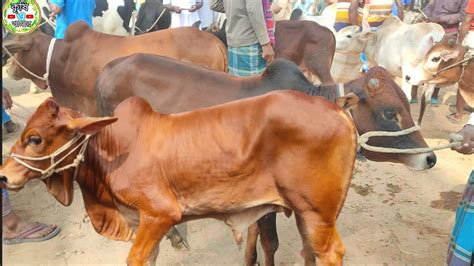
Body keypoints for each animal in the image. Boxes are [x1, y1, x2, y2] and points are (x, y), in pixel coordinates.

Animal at [0, 92, 356, 266]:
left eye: (34, 138)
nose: (3, 176)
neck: (108, 147)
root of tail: (338, 110)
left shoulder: (160, 214)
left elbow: (136, 258)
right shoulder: (146, 221)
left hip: (317, 212)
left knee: (330, 253)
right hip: (307, 213)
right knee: (309, 252)